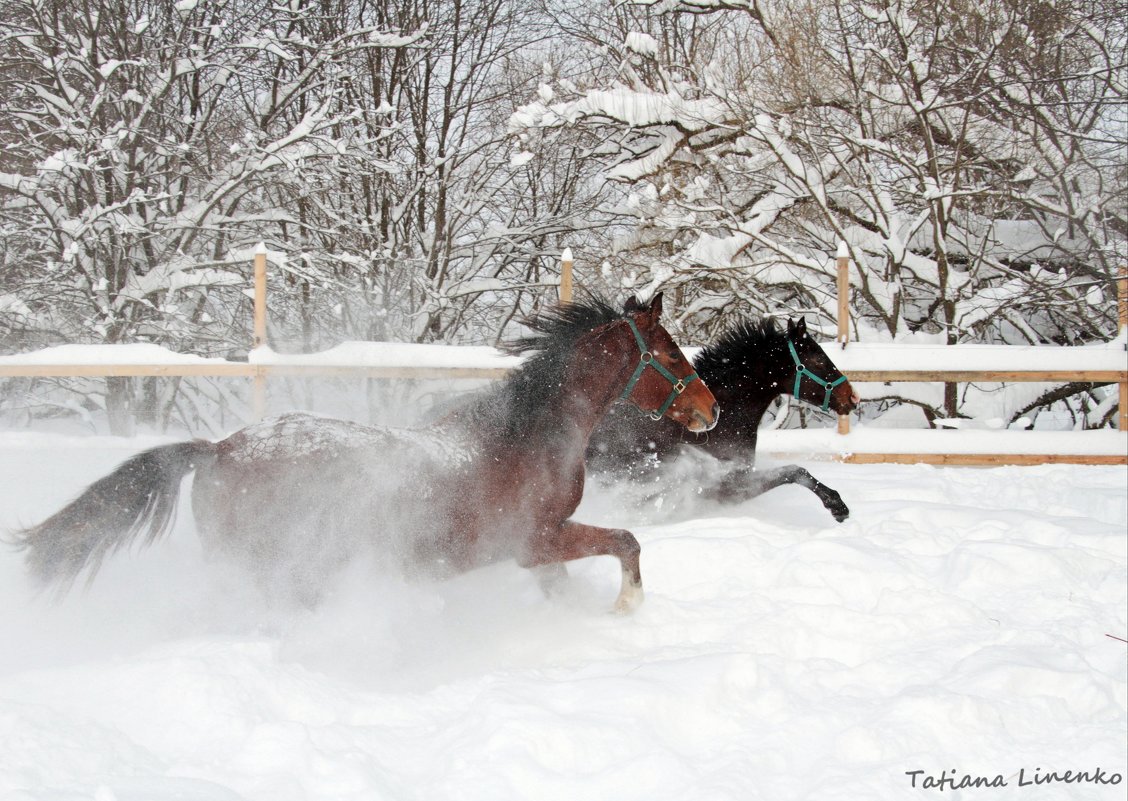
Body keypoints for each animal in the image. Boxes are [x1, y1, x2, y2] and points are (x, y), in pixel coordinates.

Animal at [10, 295, 712, 613]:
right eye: (671, 354)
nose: (710, 408)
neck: (526, 437)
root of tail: (214, 451)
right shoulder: (533, 540)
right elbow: (626, 540)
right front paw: (626, 607)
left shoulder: (542, 547)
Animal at [586, 315, 857, 523]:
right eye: (819, 358)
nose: (852, 397)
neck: (726, 415)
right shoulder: (728, 485)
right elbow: (794, 471)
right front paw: (837, 505)